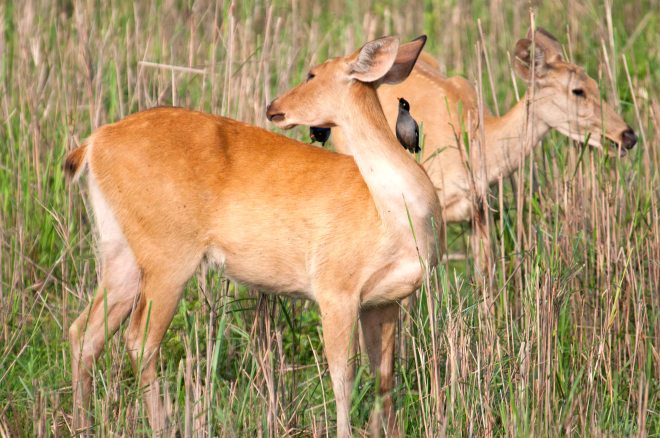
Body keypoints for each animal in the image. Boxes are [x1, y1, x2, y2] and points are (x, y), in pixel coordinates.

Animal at [66, 35, 440, 437]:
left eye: (312, 73)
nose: (273, 106)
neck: (393, 217)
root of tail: (93, 144)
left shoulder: (384, 301)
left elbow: (384, 380)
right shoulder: (335, 288)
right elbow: (344, 379)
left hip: (120, 250)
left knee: (85, 332)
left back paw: (82, 423)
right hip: (167, 255)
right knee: (139, 341)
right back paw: (162, 425)